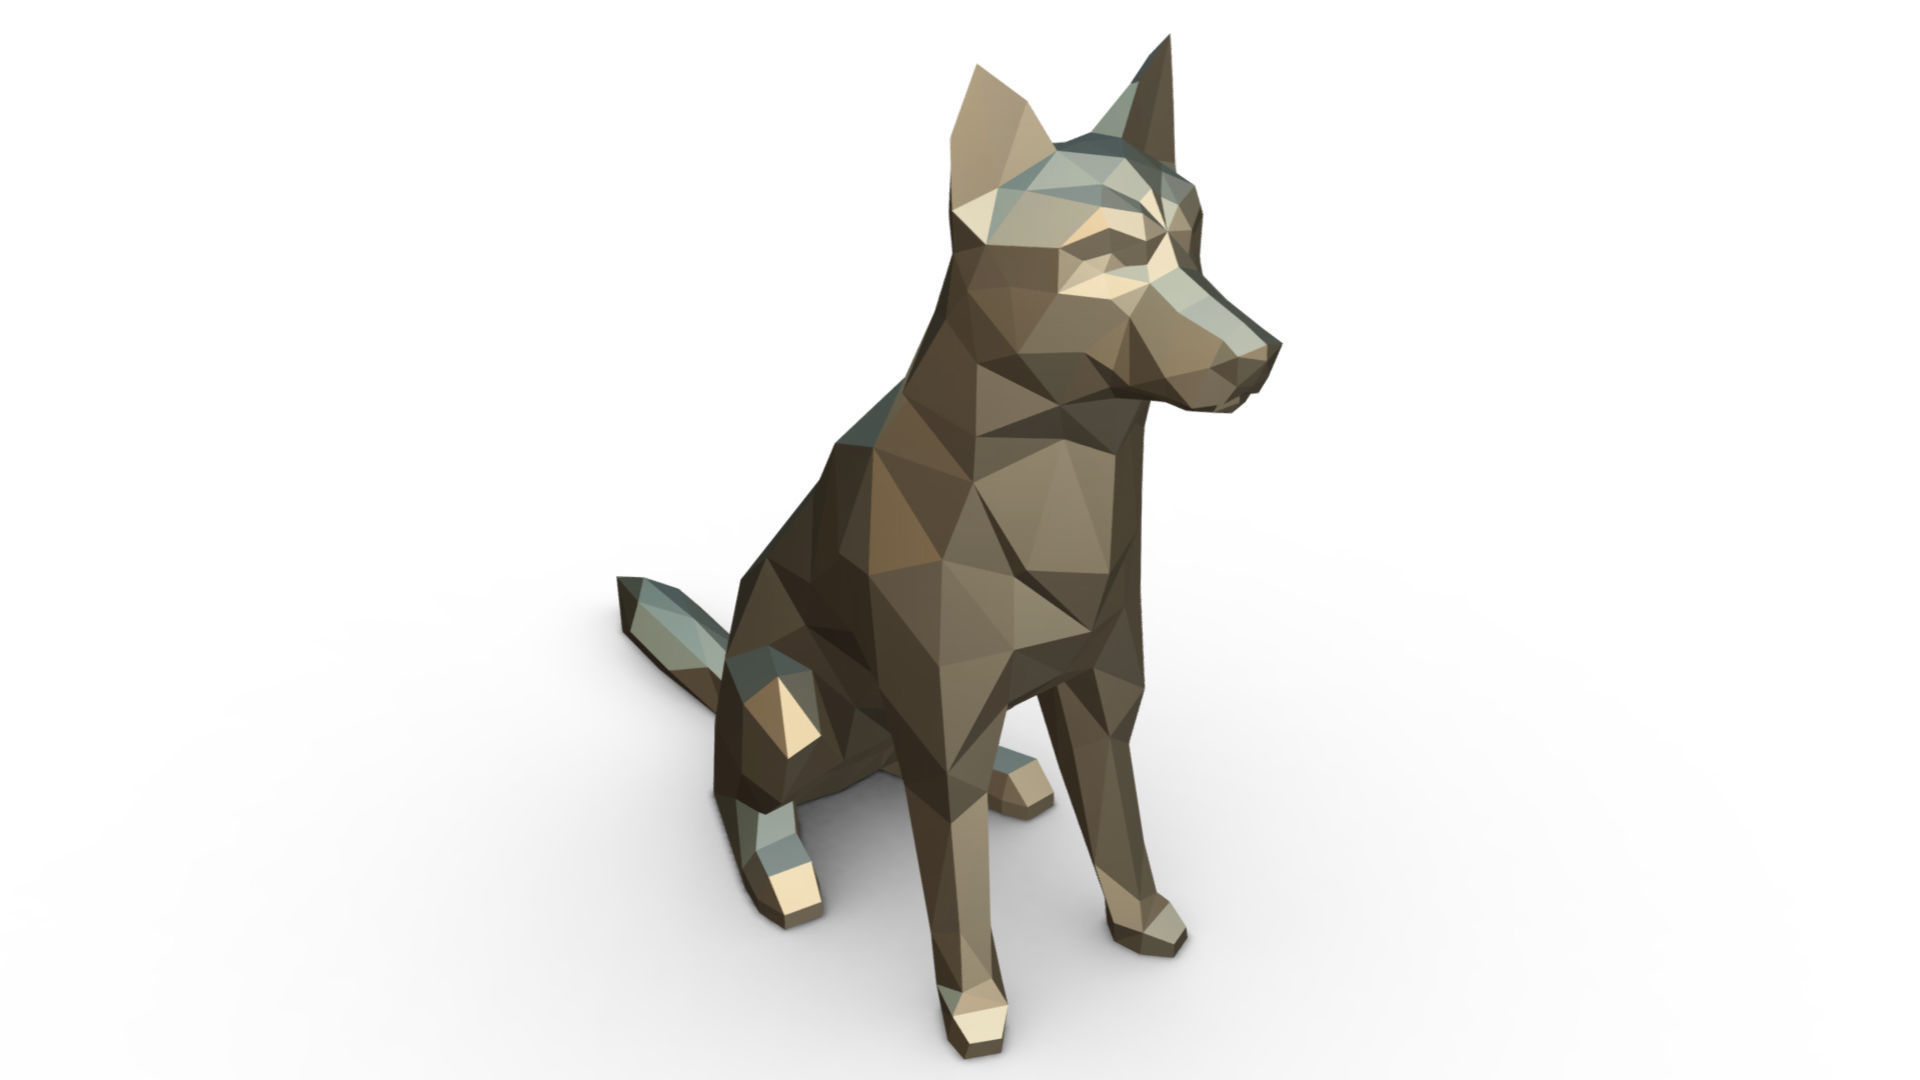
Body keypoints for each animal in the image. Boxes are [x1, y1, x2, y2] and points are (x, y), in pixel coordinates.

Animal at [616, 38, 1279, 1057]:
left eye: (1194, 236)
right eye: (1106, 255)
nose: (1262, 355)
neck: (1056, 474)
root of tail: (722, 671)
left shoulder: (1098, 697)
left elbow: (1118, 830)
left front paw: (1141, 918)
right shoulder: (946, 733)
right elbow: (959, 898)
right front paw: (973, 1006)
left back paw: (1010, 776)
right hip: (787, 705)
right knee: (738, 797)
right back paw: (780, 867)